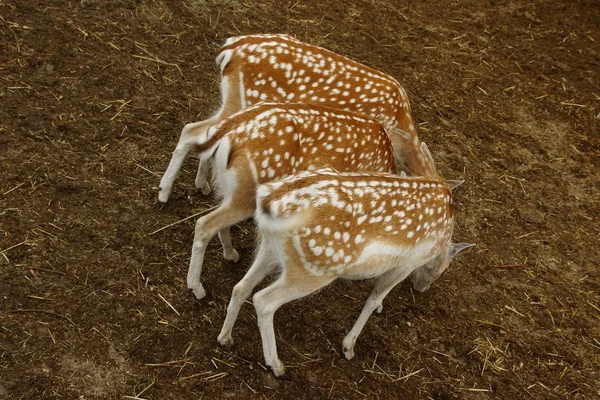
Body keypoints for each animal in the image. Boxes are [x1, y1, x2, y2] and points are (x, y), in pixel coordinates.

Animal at [158, 33, 432, 203]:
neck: (400, 129)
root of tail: (228, 50)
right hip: (245, 101)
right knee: (193, 130)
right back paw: (163, 192)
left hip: (232, 102)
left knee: (204, 131)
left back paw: (202, 185)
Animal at [178, 103, 432, 300]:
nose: (421, 287)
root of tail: (225, 132)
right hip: (245, 195)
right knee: (204, 223)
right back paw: (197, 288)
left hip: (231, 187)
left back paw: (230, 254)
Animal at [217, 168, 474, 376]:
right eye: (438, 269)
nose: (421, 288)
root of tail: (268, 200)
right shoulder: (408, 262)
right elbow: (374, 297)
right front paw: (348, 347)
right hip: (313, 270)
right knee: (263, 300)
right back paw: (277, 365)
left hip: (269, 249)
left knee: (241, 287)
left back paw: (225, 337)